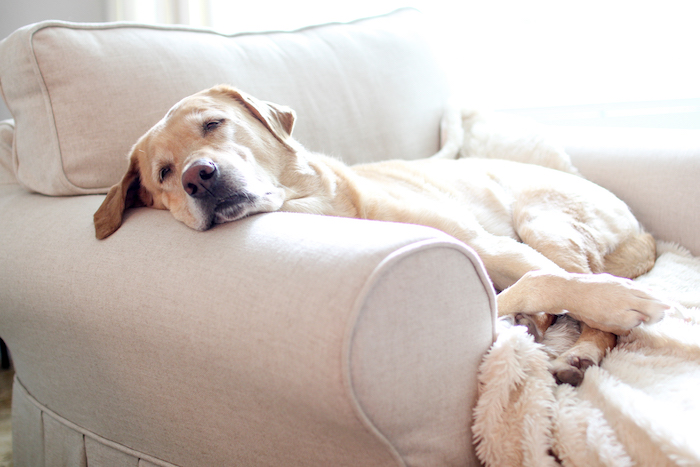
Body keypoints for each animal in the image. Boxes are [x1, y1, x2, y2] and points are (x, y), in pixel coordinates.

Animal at [94, 85, 668, 388]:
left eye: (213, 124)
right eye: (163, 174)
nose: (198, 177)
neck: (326, 208)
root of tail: (644, 231)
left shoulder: (497, 247)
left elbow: (549, 282)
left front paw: (605, 303)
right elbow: (517, 294)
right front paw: (529, 314)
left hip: (540, 219)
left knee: (586, 289)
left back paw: (584, 344)